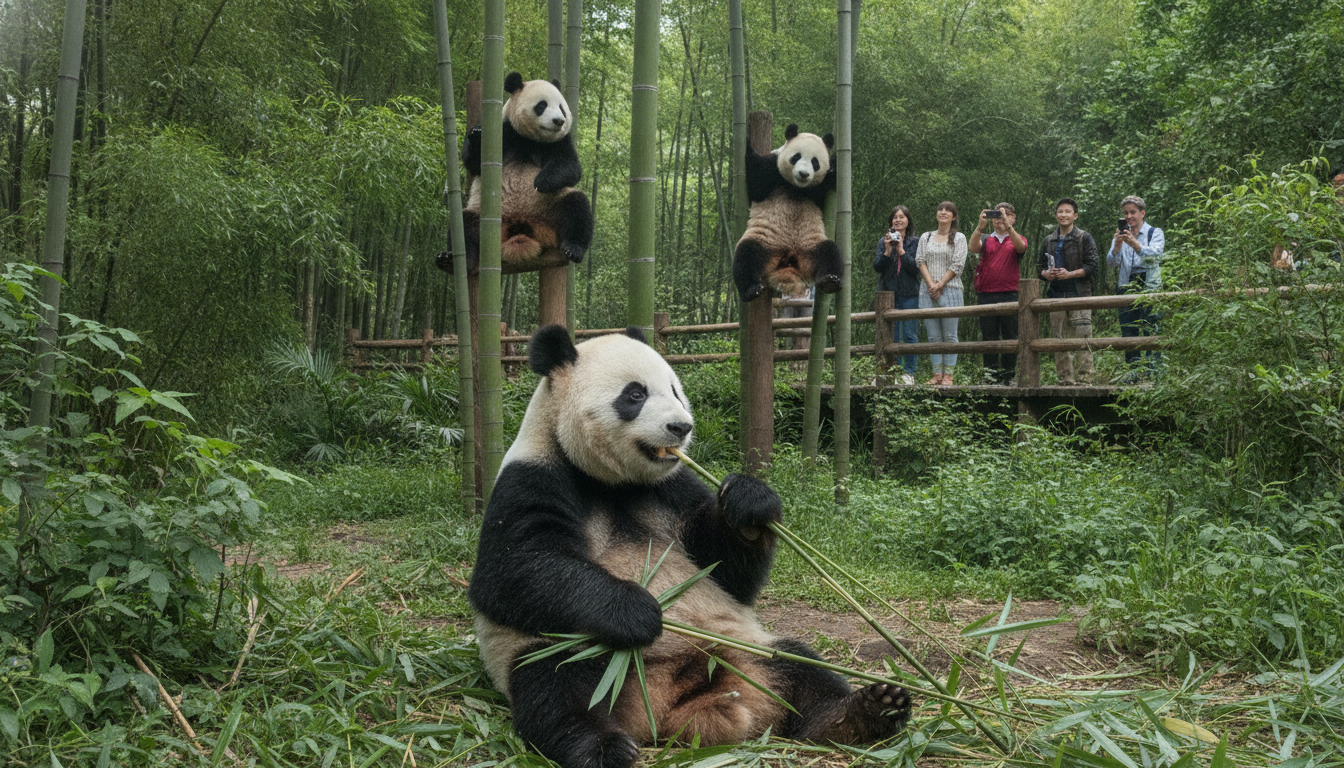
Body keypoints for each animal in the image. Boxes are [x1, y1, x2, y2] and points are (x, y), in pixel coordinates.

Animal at [435, 72, 594, 275]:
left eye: (562, 108)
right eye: (542, 105)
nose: (559, 121)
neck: (528, 139)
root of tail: (521, 228)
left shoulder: (560, 142)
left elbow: (570, 167)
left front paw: (541, 182)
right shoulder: (503, 134)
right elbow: (474, 164)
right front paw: (476, 133)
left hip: (551, 209)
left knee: (577, 207)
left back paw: (573, 249)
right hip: (483, 217)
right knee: (463, 226)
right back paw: (450, 261)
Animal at [468, 324, 911, 768]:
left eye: (675, 391)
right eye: (635, 394)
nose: (681, 427)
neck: (613, 483)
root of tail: (666, 706)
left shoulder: (672, 488)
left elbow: (725, 571)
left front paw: (749, 504)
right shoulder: (534, 477)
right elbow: (511, 574)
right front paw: (639, 611)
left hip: (748, 648)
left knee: (800, 667)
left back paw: (863, 712)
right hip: (567, 653)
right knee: (555, 688)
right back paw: (602, 747)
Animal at [732, 124, 844, 302]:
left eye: (815, 162)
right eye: (796, 157)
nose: (804, 174)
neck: (795, 187)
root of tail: (788, 258)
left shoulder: (819, 192)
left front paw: (834, 166)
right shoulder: (772, 168)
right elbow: (757, 185)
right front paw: (746, 142)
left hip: (811, 246)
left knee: (830, 253)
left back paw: (830, 281)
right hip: (764, 241)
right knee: (745, 256)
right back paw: (751, 290)